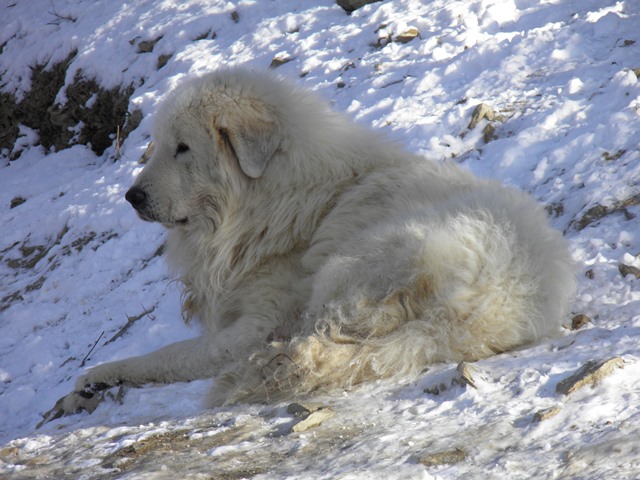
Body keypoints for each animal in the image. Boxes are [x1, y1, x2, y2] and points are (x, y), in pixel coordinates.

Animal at [45, 68, 576, 420]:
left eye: (183, 148)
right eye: (156, 144)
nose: (132, 196)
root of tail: (489, 304)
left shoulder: (252, 327)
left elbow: (168, 355)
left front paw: (97, 375)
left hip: (351, 267)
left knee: (317, 346)